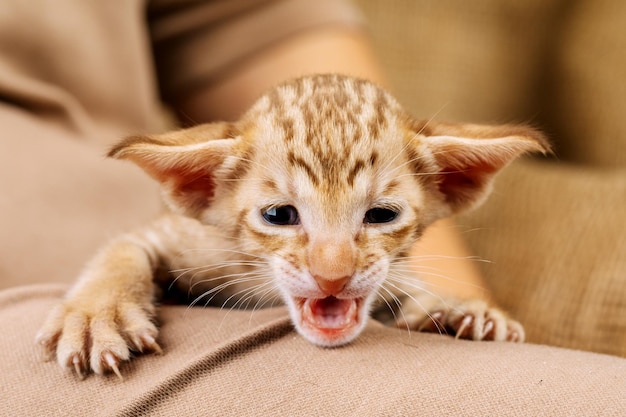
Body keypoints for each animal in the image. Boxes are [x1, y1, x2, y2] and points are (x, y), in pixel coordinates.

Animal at [36, 74, 548, 376]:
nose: (332, 276)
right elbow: (121, 250)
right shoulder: (181, 235)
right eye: (279, 216)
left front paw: (457, 306)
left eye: (381, 215)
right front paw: (97, 314)